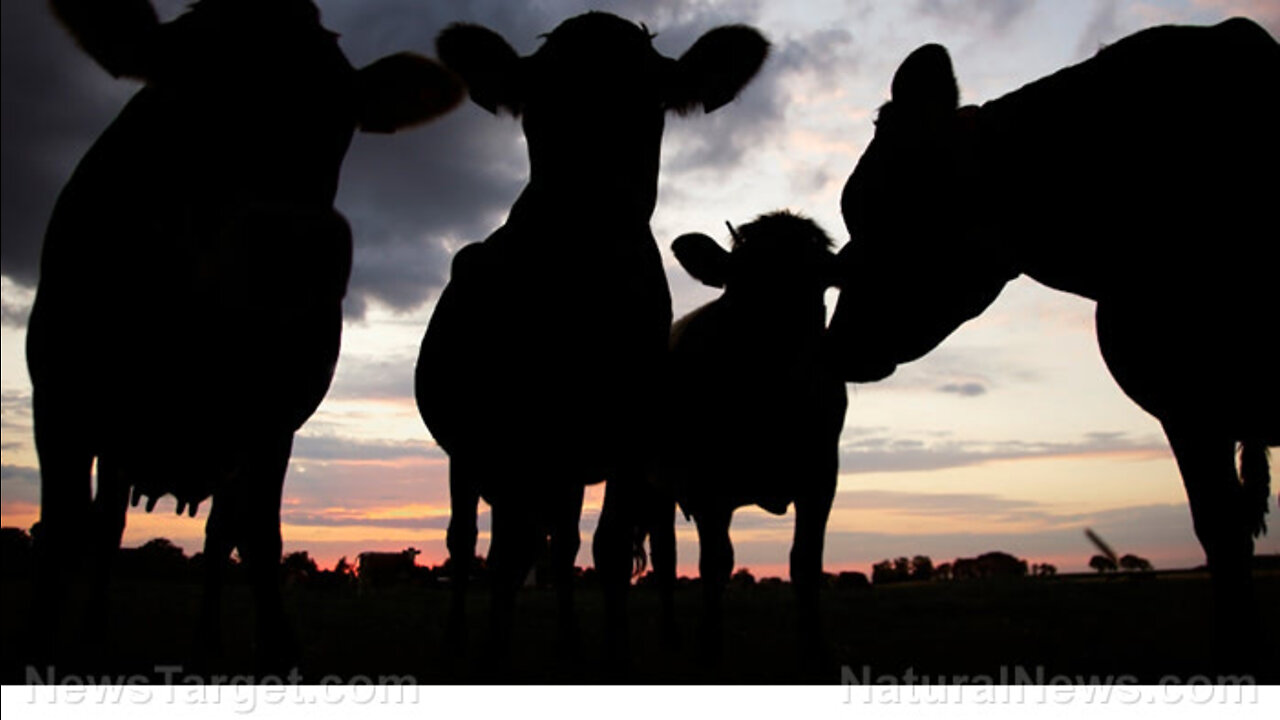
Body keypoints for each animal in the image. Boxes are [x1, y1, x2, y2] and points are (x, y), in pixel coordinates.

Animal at [28, 0, 465, 666]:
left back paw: (204, 642)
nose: (297, 244)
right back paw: (96, 631)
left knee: (216, 536)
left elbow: (260, 541)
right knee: (108, 527)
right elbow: (61, 535)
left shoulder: (272, 420)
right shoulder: (59, 394)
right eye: (179, 80)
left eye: (344, 116)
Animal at [414, 11, 762, 666]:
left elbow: (605, 549)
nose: (592, 205)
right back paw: (455, 642)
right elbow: (503, 555)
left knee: (557, 541)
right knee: (469, 541)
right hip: (471, 455)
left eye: (651, 101)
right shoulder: (508, 435)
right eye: (539, 106)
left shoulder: (628, 437)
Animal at [645, 211, 844, 661]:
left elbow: (806, 562)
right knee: (665, 557)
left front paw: (815, 648)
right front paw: (709, 645)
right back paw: (670, 639)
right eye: (736, 288)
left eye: (818, 285)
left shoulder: (821, 478)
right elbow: (715, 563)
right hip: (648, 485)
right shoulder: (707, 486)